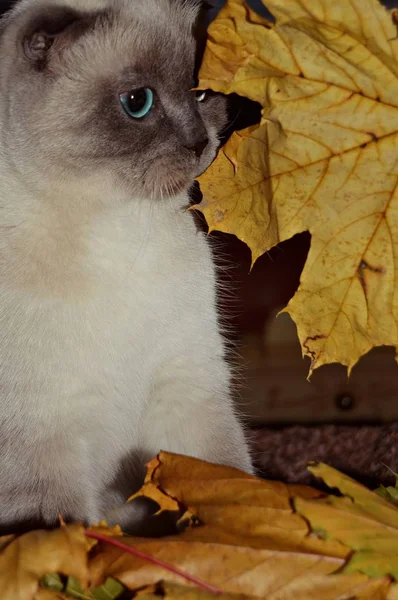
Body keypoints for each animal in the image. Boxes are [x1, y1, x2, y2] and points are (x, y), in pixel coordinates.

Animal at [0, 0, 252, 536]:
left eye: (201, 91)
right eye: (138, 102)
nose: (199, 142)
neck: (119, 227)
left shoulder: (186, 385)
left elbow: (229, 478)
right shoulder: (41, 433)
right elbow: (59, 532)